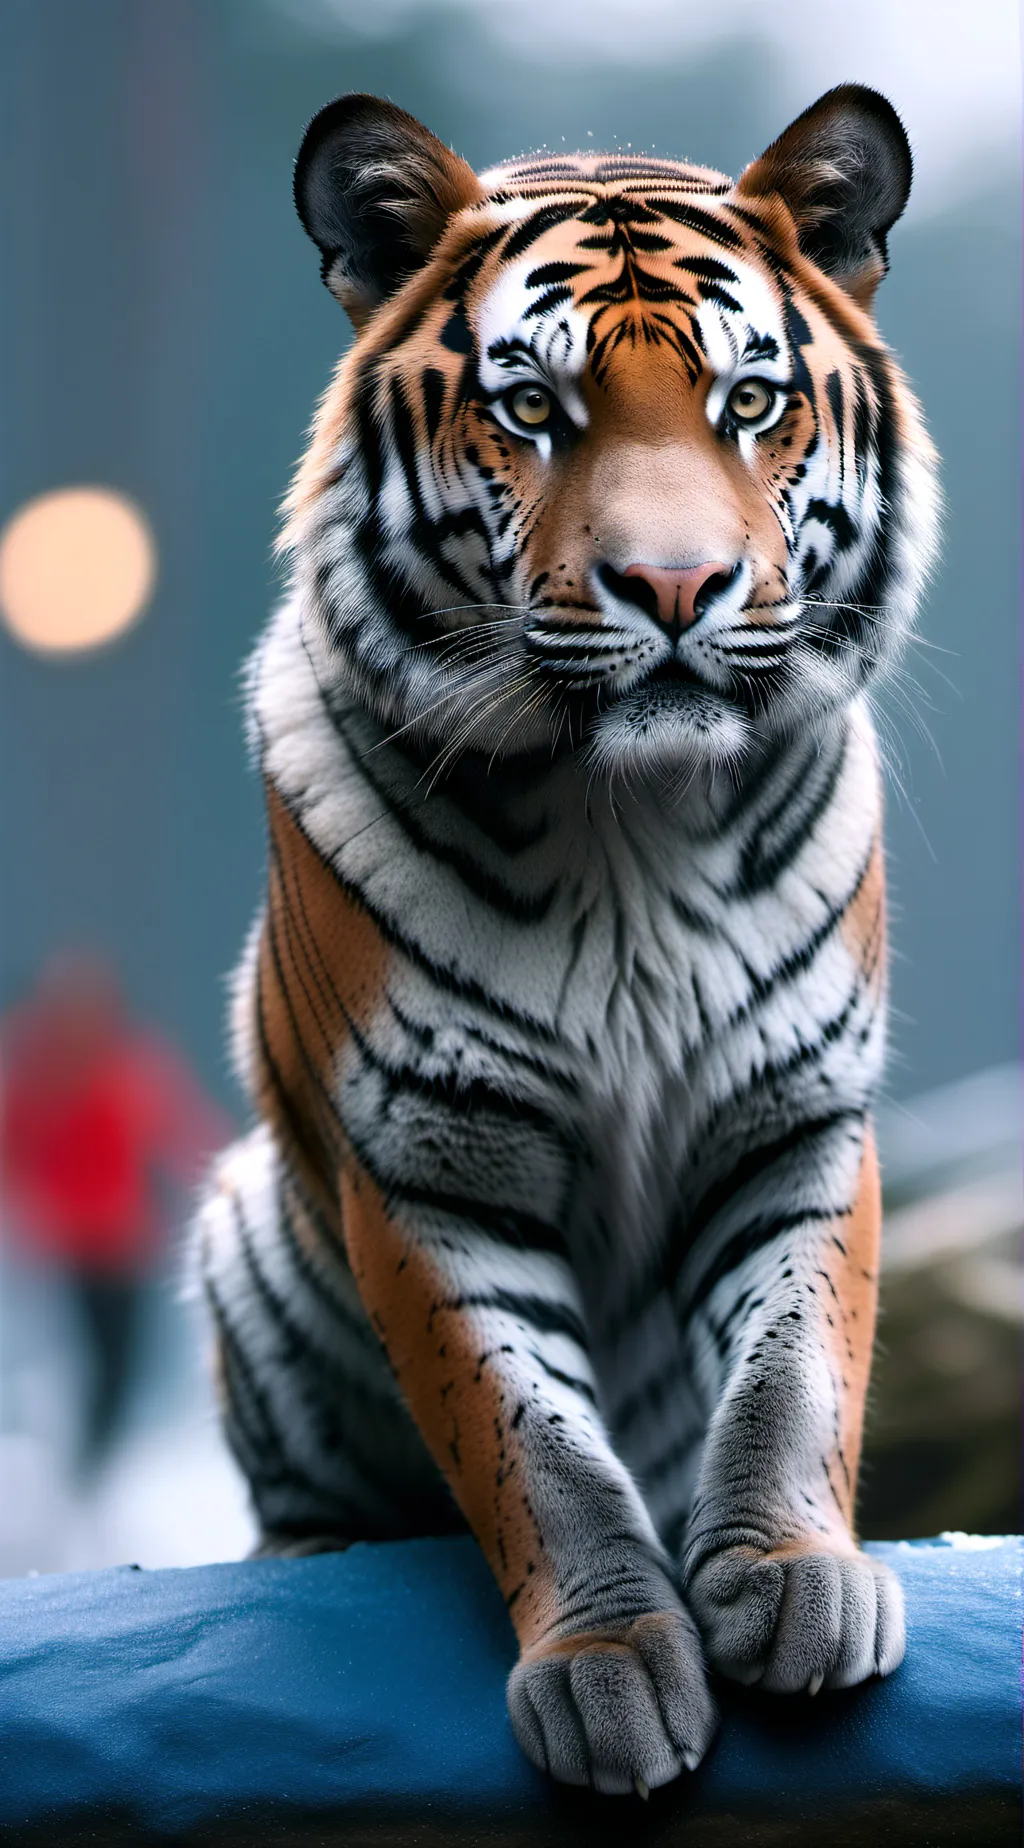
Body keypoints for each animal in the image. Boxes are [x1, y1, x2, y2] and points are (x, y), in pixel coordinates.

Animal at [196, 83, 939, 1798]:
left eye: (750, 400)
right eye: (531, 406)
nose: (674, 586)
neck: (631, 826)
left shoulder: (795, 1122)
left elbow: (797, 1371)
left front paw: (796, 1586)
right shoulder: (428, 1165)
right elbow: (530, 1447)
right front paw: (611, 1672)